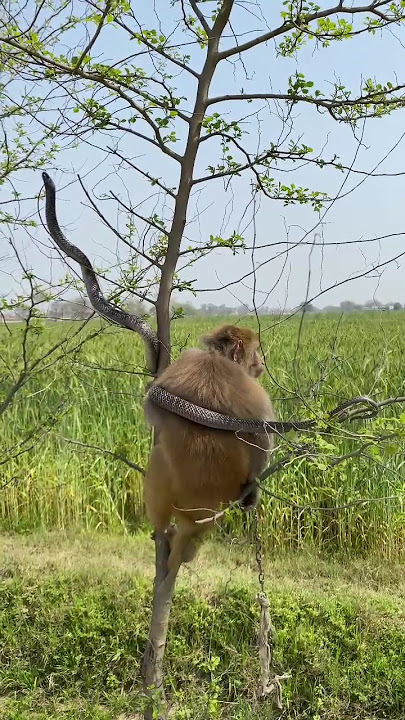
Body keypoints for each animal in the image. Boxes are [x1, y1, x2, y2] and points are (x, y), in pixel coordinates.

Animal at [143, 325, 276, 573]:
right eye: (255, 352)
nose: (261, 362)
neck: (217, 356)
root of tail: (192, 519)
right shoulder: (250, 385)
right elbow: (261, 439)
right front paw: (252, 494)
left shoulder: (188, 356)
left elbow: (153, 402)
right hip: (218, 504)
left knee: (158, 455)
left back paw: (164, 535)